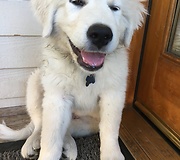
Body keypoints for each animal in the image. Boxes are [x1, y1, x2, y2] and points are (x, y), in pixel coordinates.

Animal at [0, 0, 146, 159]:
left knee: (68, 129)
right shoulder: (57, 98)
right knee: (40, 123)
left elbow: (110, 129)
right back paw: (33, 142)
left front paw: (112, 155)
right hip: (35, 82)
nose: (101, 34)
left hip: (89, 124)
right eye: (77, 2)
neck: (84, 72)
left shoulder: (113, 95)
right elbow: (51, 137)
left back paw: (69, 146)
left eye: (114, 8)